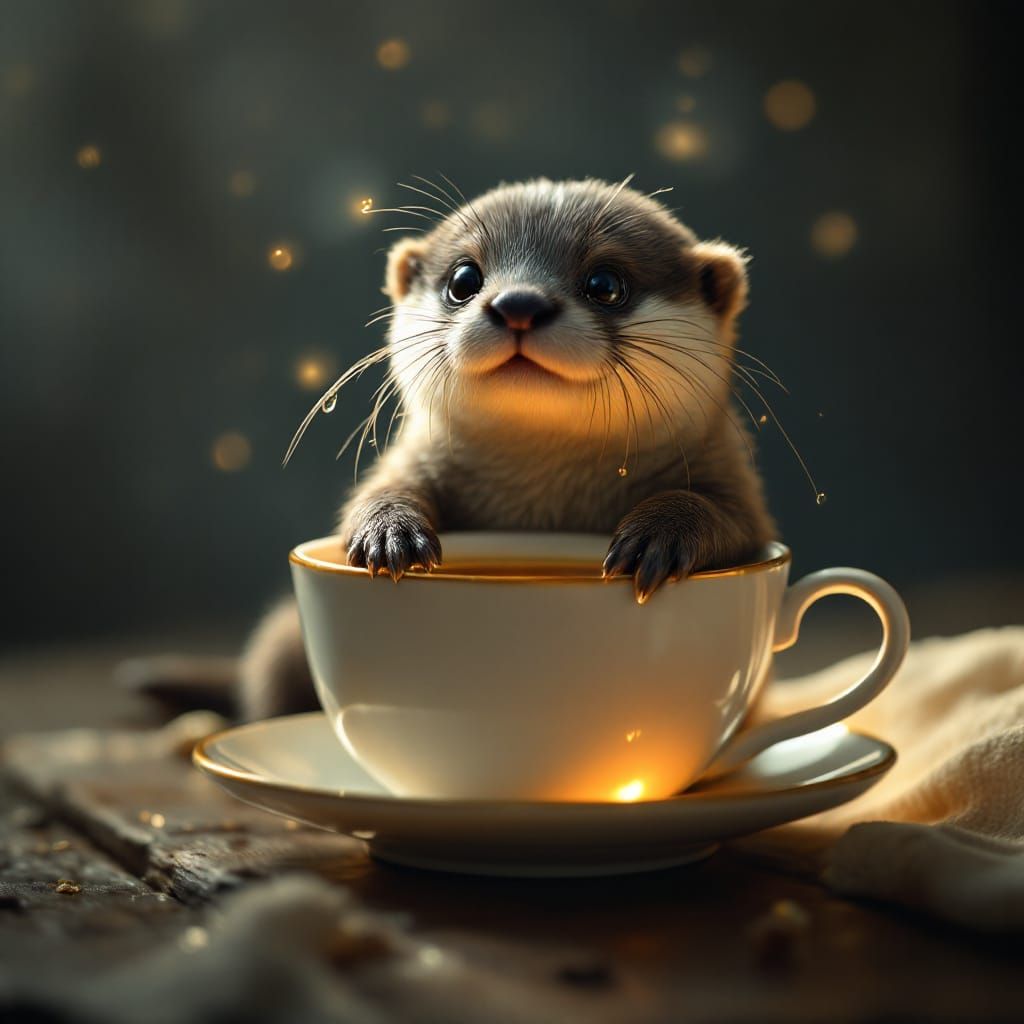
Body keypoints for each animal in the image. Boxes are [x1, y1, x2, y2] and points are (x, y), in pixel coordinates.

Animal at [129, 177, 776, 720]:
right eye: (464, 280)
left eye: (606, 284)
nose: (518, 304)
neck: (541, 499)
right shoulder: (406, 460)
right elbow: (371, 497)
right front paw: (388, 532)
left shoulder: (736, 485)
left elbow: (730, 519)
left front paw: (659, 534)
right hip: (283, 638)